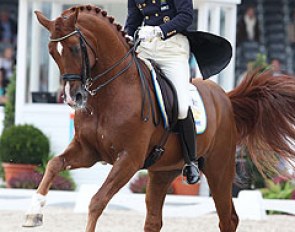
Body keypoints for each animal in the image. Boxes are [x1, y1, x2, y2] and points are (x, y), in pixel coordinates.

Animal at [25, 5, 295, 232]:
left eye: (74, 48)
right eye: (52, 52)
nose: (74, 97)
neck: (110, 95)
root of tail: (225, 97)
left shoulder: (129, 159)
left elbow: (97, 201)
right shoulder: (88, 151)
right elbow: (54, 164)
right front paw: (33, 213)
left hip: (219, 168)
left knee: (228, 219)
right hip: (162, 172)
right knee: (154, 221)